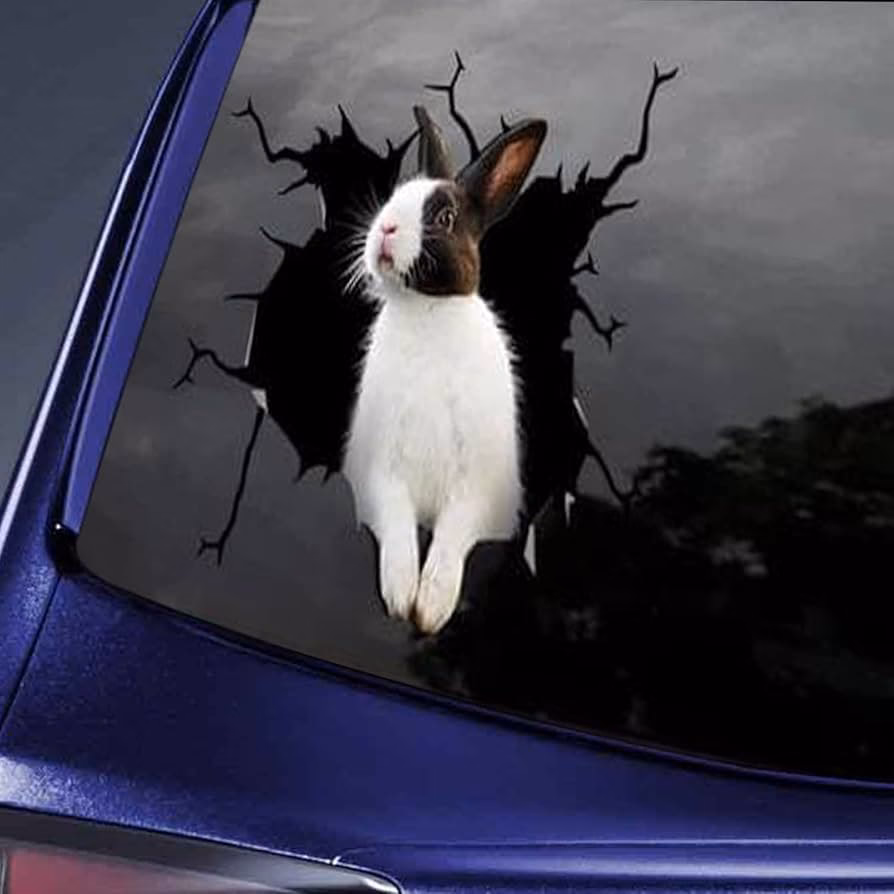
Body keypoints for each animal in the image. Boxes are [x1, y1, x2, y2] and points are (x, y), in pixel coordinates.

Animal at [343, 104, 547, 634]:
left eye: (444, 218)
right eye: (395, 197)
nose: (385, 229)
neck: (426, 310)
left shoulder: (475, 490)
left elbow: (453, 535)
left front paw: (431, 608)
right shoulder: (383, 476)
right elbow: (397, 528)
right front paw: (400, 596)